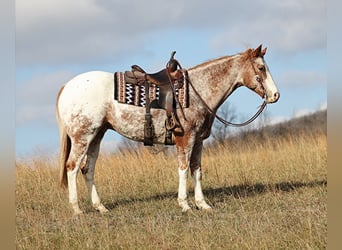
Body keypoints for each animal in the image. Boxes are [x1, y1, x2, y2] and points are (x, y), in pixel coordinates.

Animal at [56, 45, 280, 215]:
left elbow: (197, 171)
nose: (275, 95)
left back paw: (100, 207)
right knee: (72, 167)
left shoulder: (199, 141)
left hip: (97, 135)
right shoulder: (185, 139)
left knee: (88, 168)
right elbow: (183, 169)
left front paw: (203, 204)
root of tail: (67, 86)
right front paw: (185, 205)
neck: (197, 91)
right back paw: (77, 209)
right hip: (83, 136)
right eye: (261, 68)